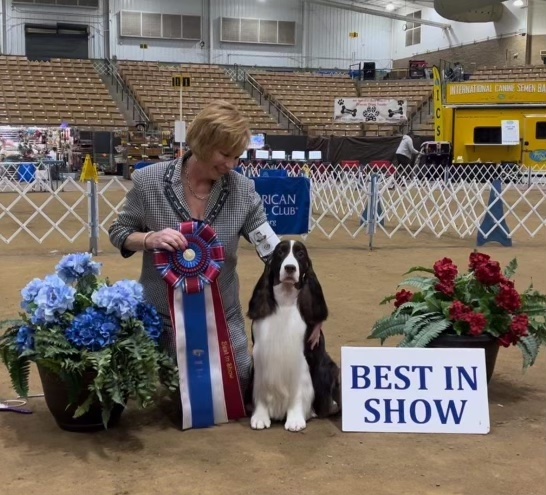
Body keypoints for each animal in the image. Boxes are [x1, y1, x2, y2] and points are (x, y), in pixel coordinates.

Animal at [247, 240, 340, 432]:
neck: (285, 301)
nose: (290, 268)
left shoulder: (299, 357)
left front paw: (295, 420)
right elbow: (260, 388)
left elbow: (298, 390)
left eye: (300, 254)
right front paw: (260, 417)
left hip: (330, 368)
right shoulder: (260, 354)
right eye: (280, 252)